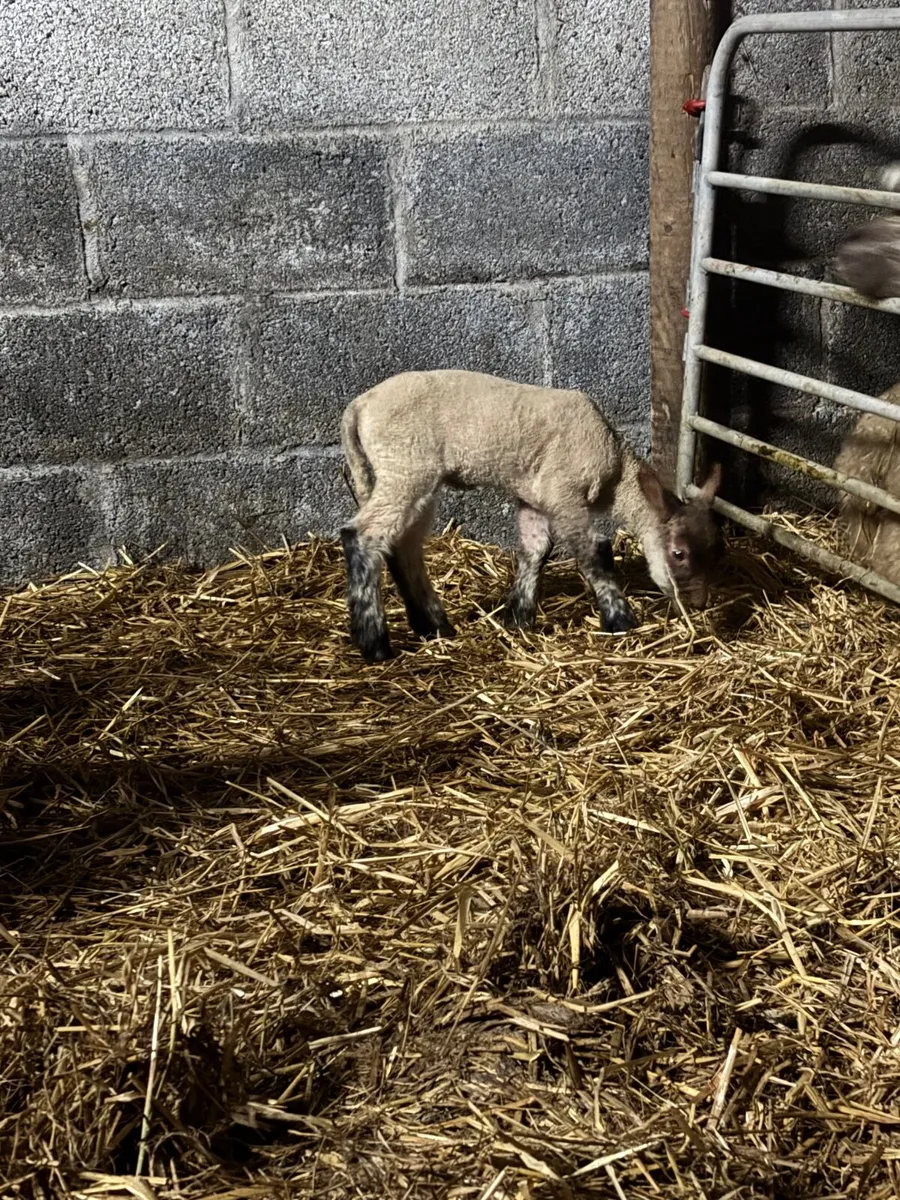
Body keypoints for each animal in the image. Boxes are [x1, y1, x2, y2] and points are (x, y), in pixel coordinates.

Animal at [339, 369, 722, 663]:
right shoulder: (562, 492)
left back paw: (434, 626)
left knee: (404, 545)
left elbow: (535, 549)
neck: (615, 467)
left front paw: (519, 618)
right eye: (679, 553)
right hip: (406, 465)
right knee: (363, 535)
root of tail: (358, 408)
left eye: (718, 551)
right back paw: (375, 644)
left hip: (409, 477)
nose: (698, 604)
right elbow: (594, 554)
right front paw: (620, 619)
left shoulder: (534, 497)